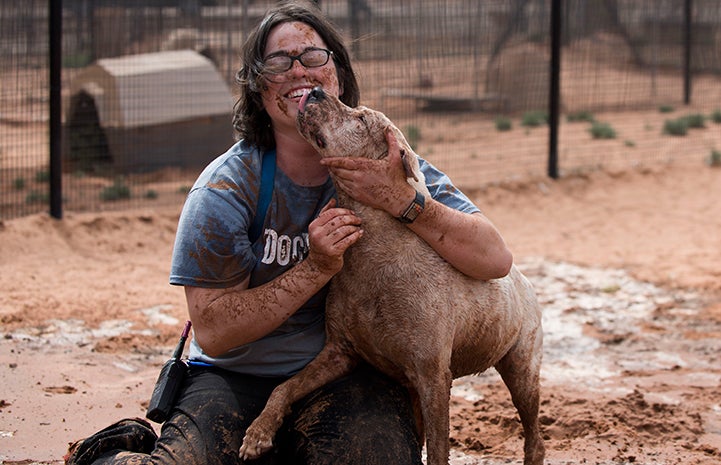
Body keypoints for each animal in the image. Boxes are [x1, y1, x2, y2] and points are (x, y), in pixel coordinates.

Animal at [239, 87, 544, 464]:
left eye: (360, 118)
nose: (316, 90)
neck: (374, 257)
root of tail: (523, 278)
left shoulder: (433, 377)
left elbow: (439, 452)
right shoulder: (338, 353)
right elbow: (284, 386)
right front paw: (259, 432)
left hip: (522, 369)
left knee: (534, 435)